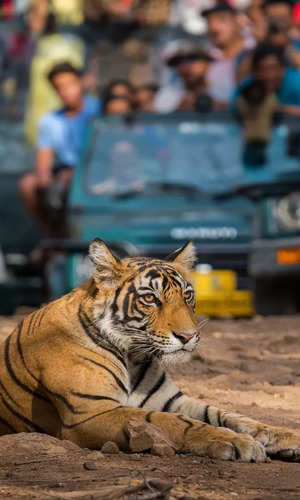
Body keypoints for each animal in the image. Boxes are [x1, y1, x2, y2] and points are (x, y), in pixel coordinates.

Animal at [0, 240, 300, 462]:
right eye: (149, 299)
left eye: (187, 295)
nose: (188, 336)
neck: (132, 355)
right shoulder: (89, 412)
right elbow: (173, 422)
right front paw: (234, 441)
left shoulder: (172, 400)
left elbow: (230, 415)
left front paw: (287, 437)